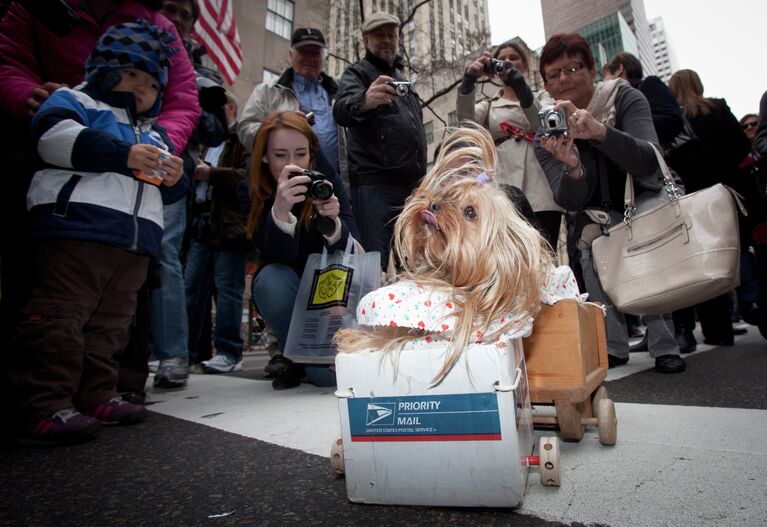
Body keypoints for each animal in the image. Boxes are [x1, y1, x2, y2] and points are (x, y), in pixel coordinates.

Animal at [334, 126, 584, 386]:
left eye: (470, 212)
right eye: (445, 194)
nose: (433, 205)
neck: (453, 274)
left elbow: (398, 338)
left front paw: (355, 338)